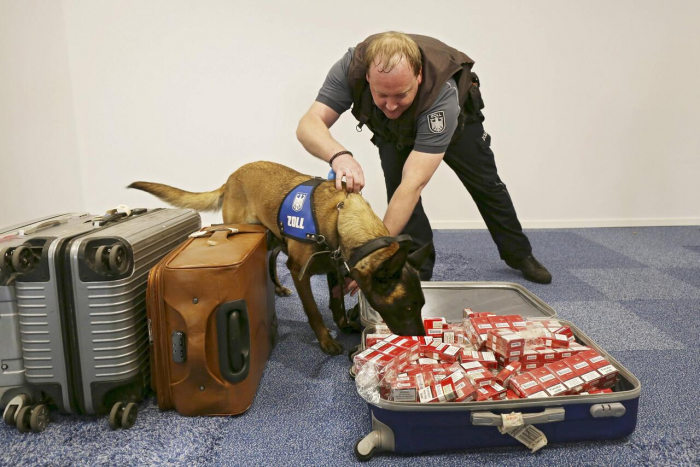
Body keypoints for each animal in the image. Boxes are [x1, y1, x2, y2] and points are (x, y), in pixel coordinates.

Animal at [129, 161, 430, 354]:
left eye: (422, 304)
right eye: (407, 307)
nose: (422, 337)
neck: (340, 215)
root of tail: (230, 179)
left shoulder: (332, 267)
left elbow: (337, 303)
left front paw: (344, 324)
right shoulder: (300, 272)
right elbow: (314, 311)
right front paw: (326, 341)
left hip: (271, 238)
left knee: (270, 261)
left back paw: (277, 287)